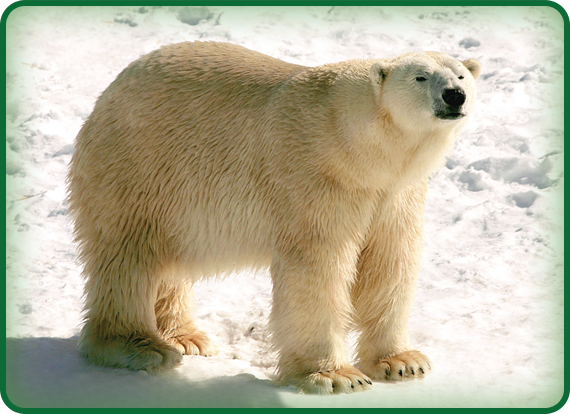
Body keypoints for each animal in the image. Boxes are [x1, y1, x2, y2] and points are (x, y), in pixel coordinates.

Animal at [66, 42, 478, 394]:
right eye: (420, 77)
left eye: (460, 75)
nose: (454, 95)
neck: (359, 148)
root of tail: (112, 89)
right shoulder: (319, 179)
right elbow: (318, 268)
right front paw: (336, 376)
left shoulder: (395, 195)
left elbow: (389, 263)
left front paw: (404, 362)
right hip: (136, 167)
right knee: (127, 257)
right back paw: (140, 346)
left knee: (166, 262)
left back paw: (185, 337)